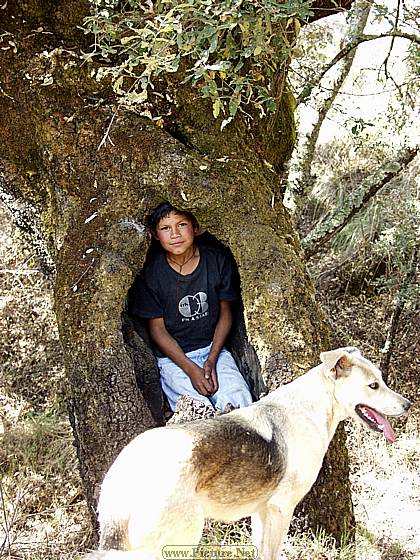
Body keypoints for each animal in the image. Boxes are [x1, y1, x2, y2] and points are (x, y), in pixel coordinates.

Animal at [85, 348, 410, 556]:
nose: (408, 405)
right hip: (181, 538)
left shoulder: (261, 511)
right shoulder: (282, 509)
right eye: (373, 386)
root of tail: (122, 476)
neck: (315, 407)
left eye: (382, 380)